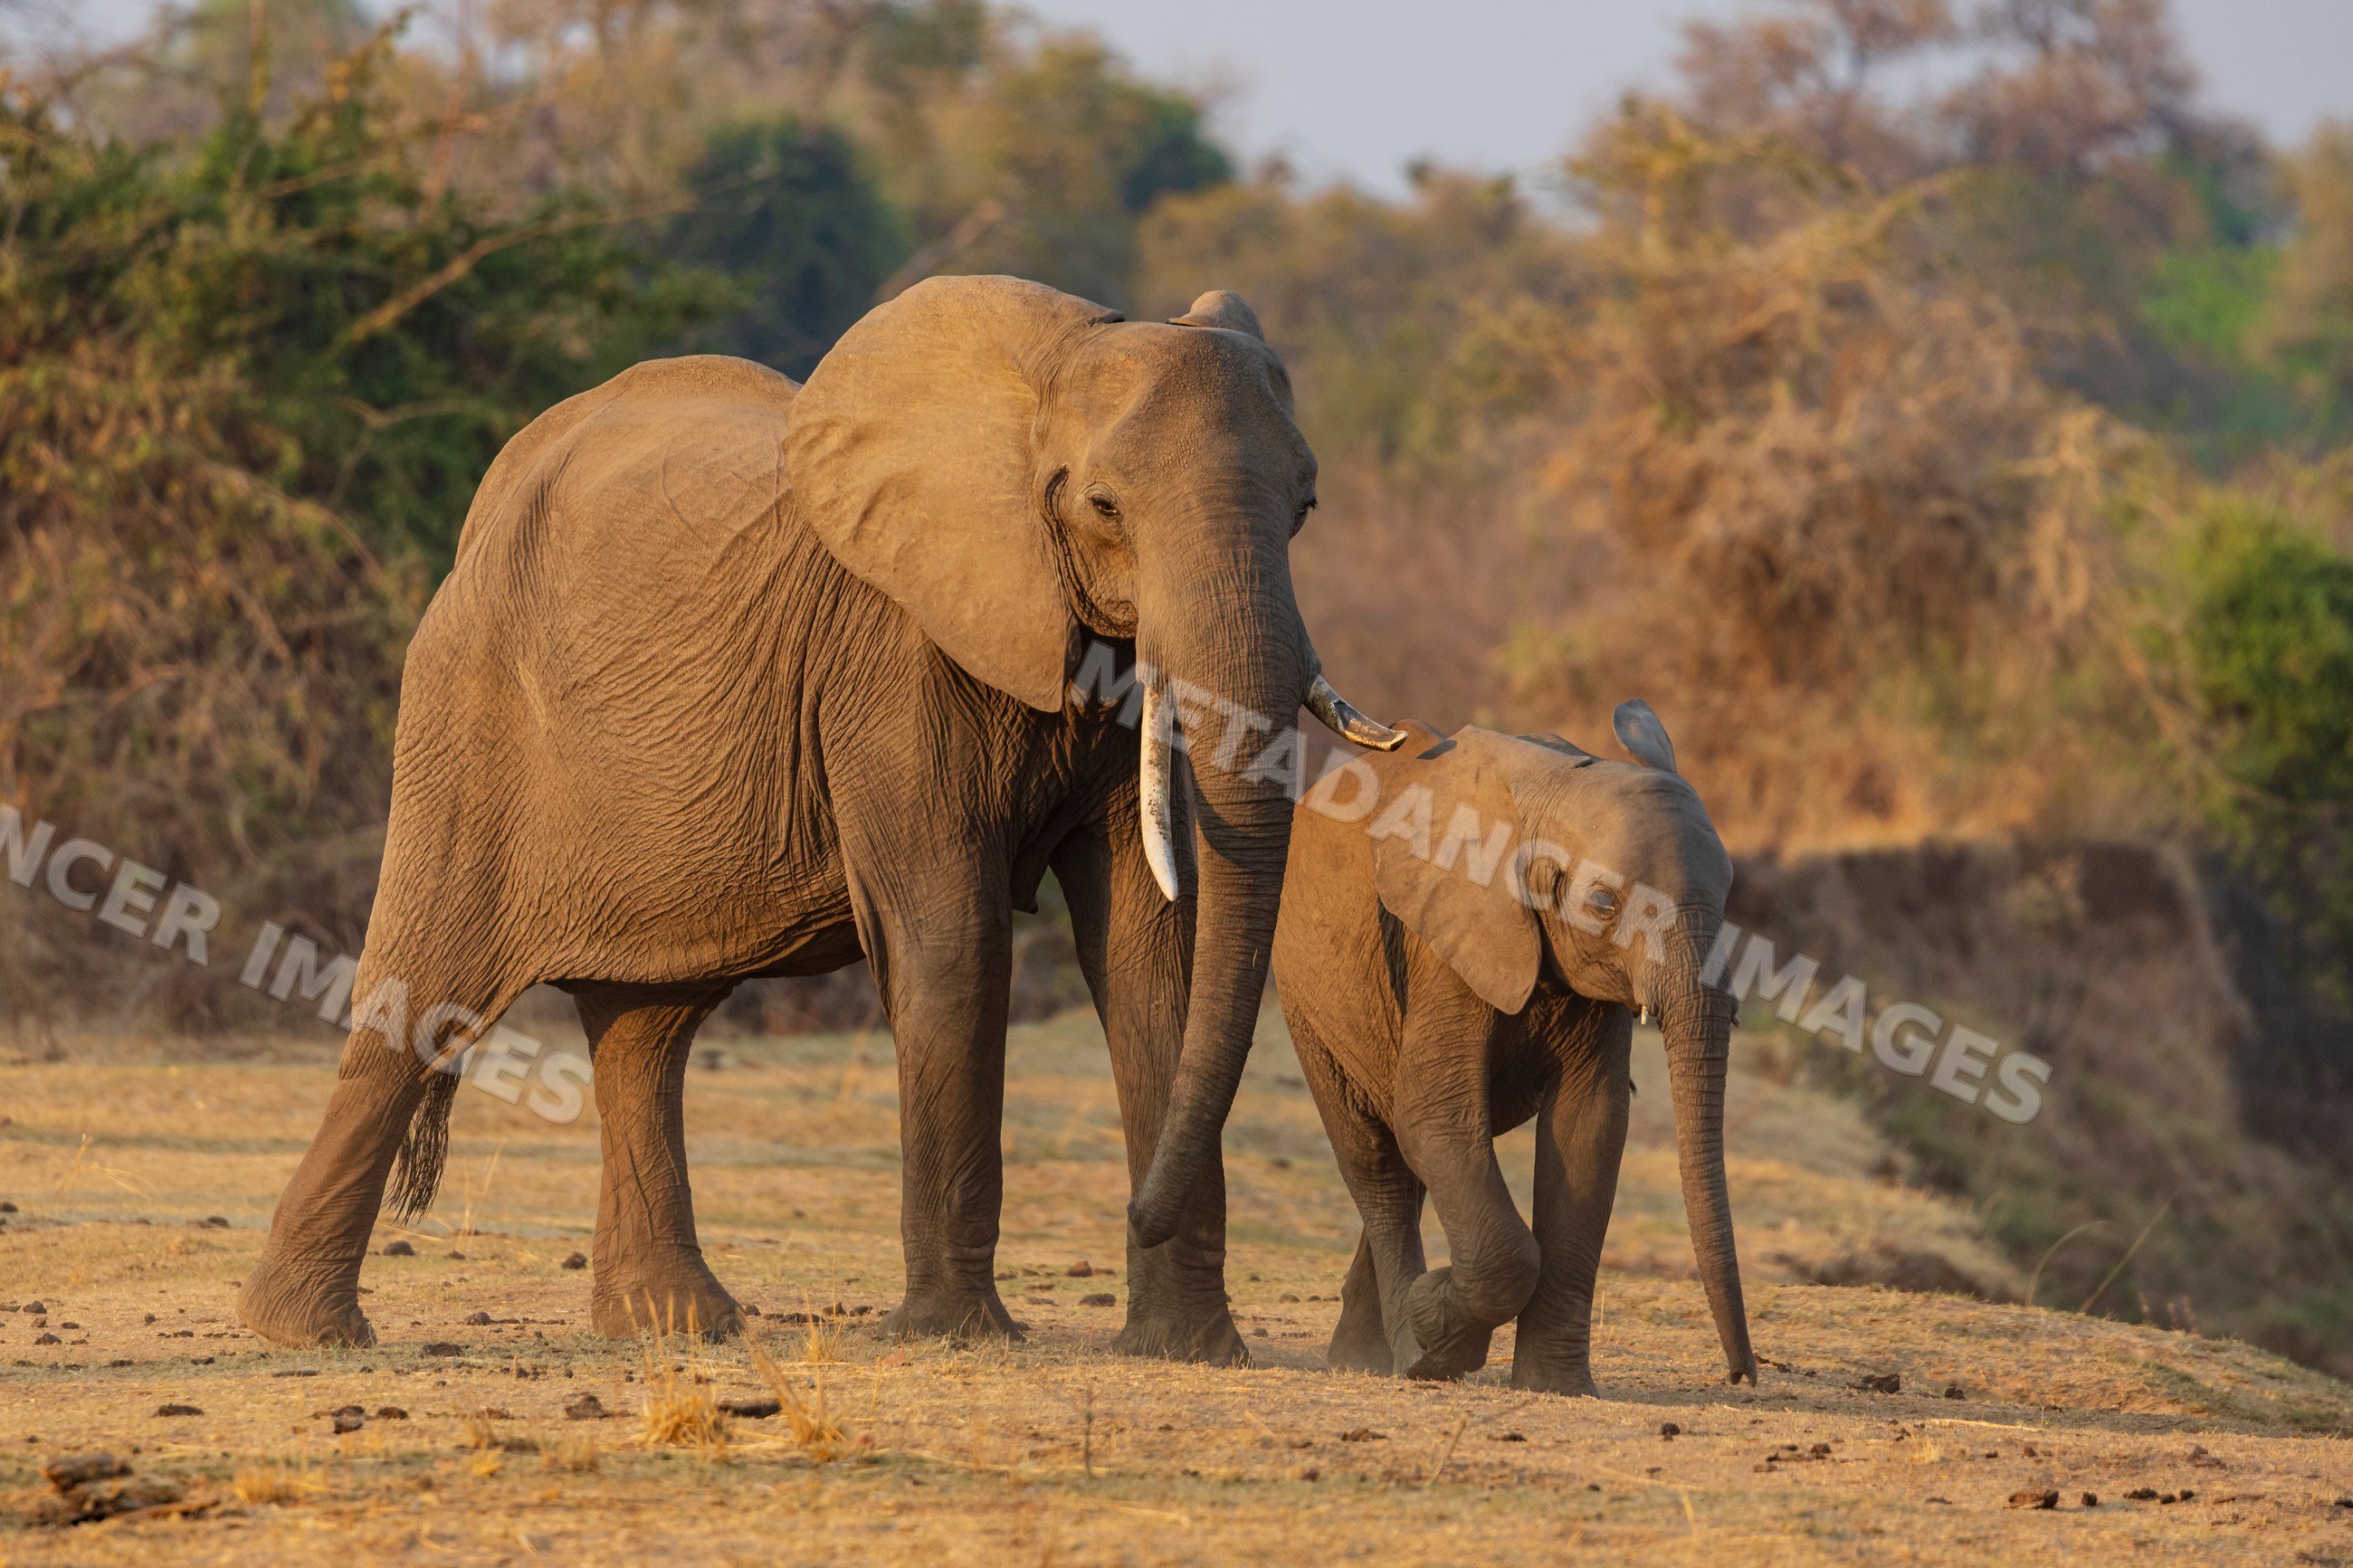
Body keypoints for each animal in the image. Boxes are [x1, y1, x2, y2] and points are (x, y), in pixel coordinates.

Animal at [234, 274, 1401, 1360]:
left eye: (1304, 508)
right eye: (1104, 505)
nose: (1137, 1208)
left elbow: (1149, 951)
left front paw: (1185, 1347)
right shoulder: (886, 654)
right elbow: (950, 939)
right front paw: (949, 1334)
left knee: (645, 1029)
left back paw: (675, 1326)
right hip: (466, 713)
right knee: (418, 995)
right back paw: (305, 1331)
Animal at [1271, 702, 1758, 1395]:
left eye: (1727, 897)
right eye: (1604, 903)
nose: (1741, 1375)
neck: (1556, 790)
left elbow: (1589, 1126)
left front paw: (1555, 1386)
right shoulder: (1444, 937)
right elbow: (1437, 1114)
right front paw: (1434, 1329)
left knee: (1411, 1161)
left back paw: (1363, 1353)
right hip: (1305, 993)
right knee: (1376, 1157)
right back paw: (1402, 1349)